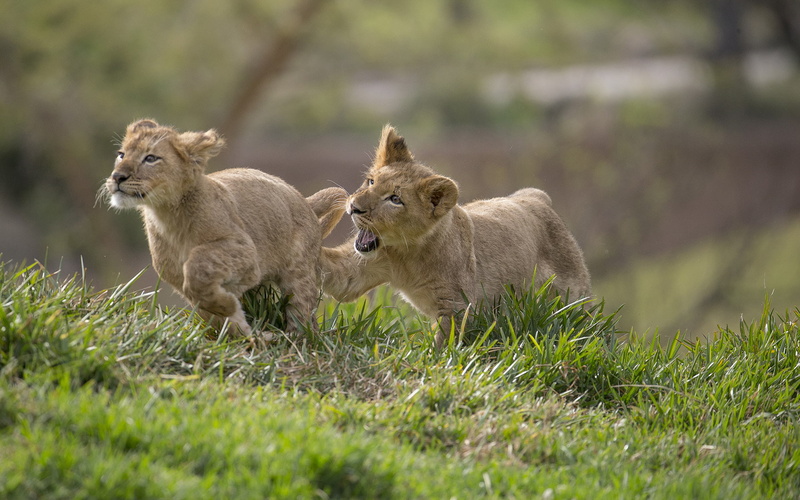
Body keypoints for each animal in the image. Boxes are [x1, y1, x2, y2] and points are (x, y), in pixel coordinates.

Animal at [105, 118, 347, 337]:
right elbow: (204, 305)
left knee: (305, 319)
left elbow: (198, 265)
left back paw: (294, 341)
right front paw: (237, 327)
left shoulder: (246, 252)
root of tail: (304, 200)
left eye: (151, 158)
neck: (168, 216)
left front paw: (229, 307)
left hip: (298, 273)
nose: (117, 177)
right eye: (121, 154)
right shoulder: (176, 276)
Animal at [321, 125, 591, 345]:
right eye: (370, 182)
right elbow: (338, 276)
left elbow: (443, 345)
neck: (406, 255)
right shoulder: (360, 269)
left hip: (573, 299)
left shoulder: (458, 307)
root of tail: (537, 198)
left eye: (395, 199)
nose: (354, 207)